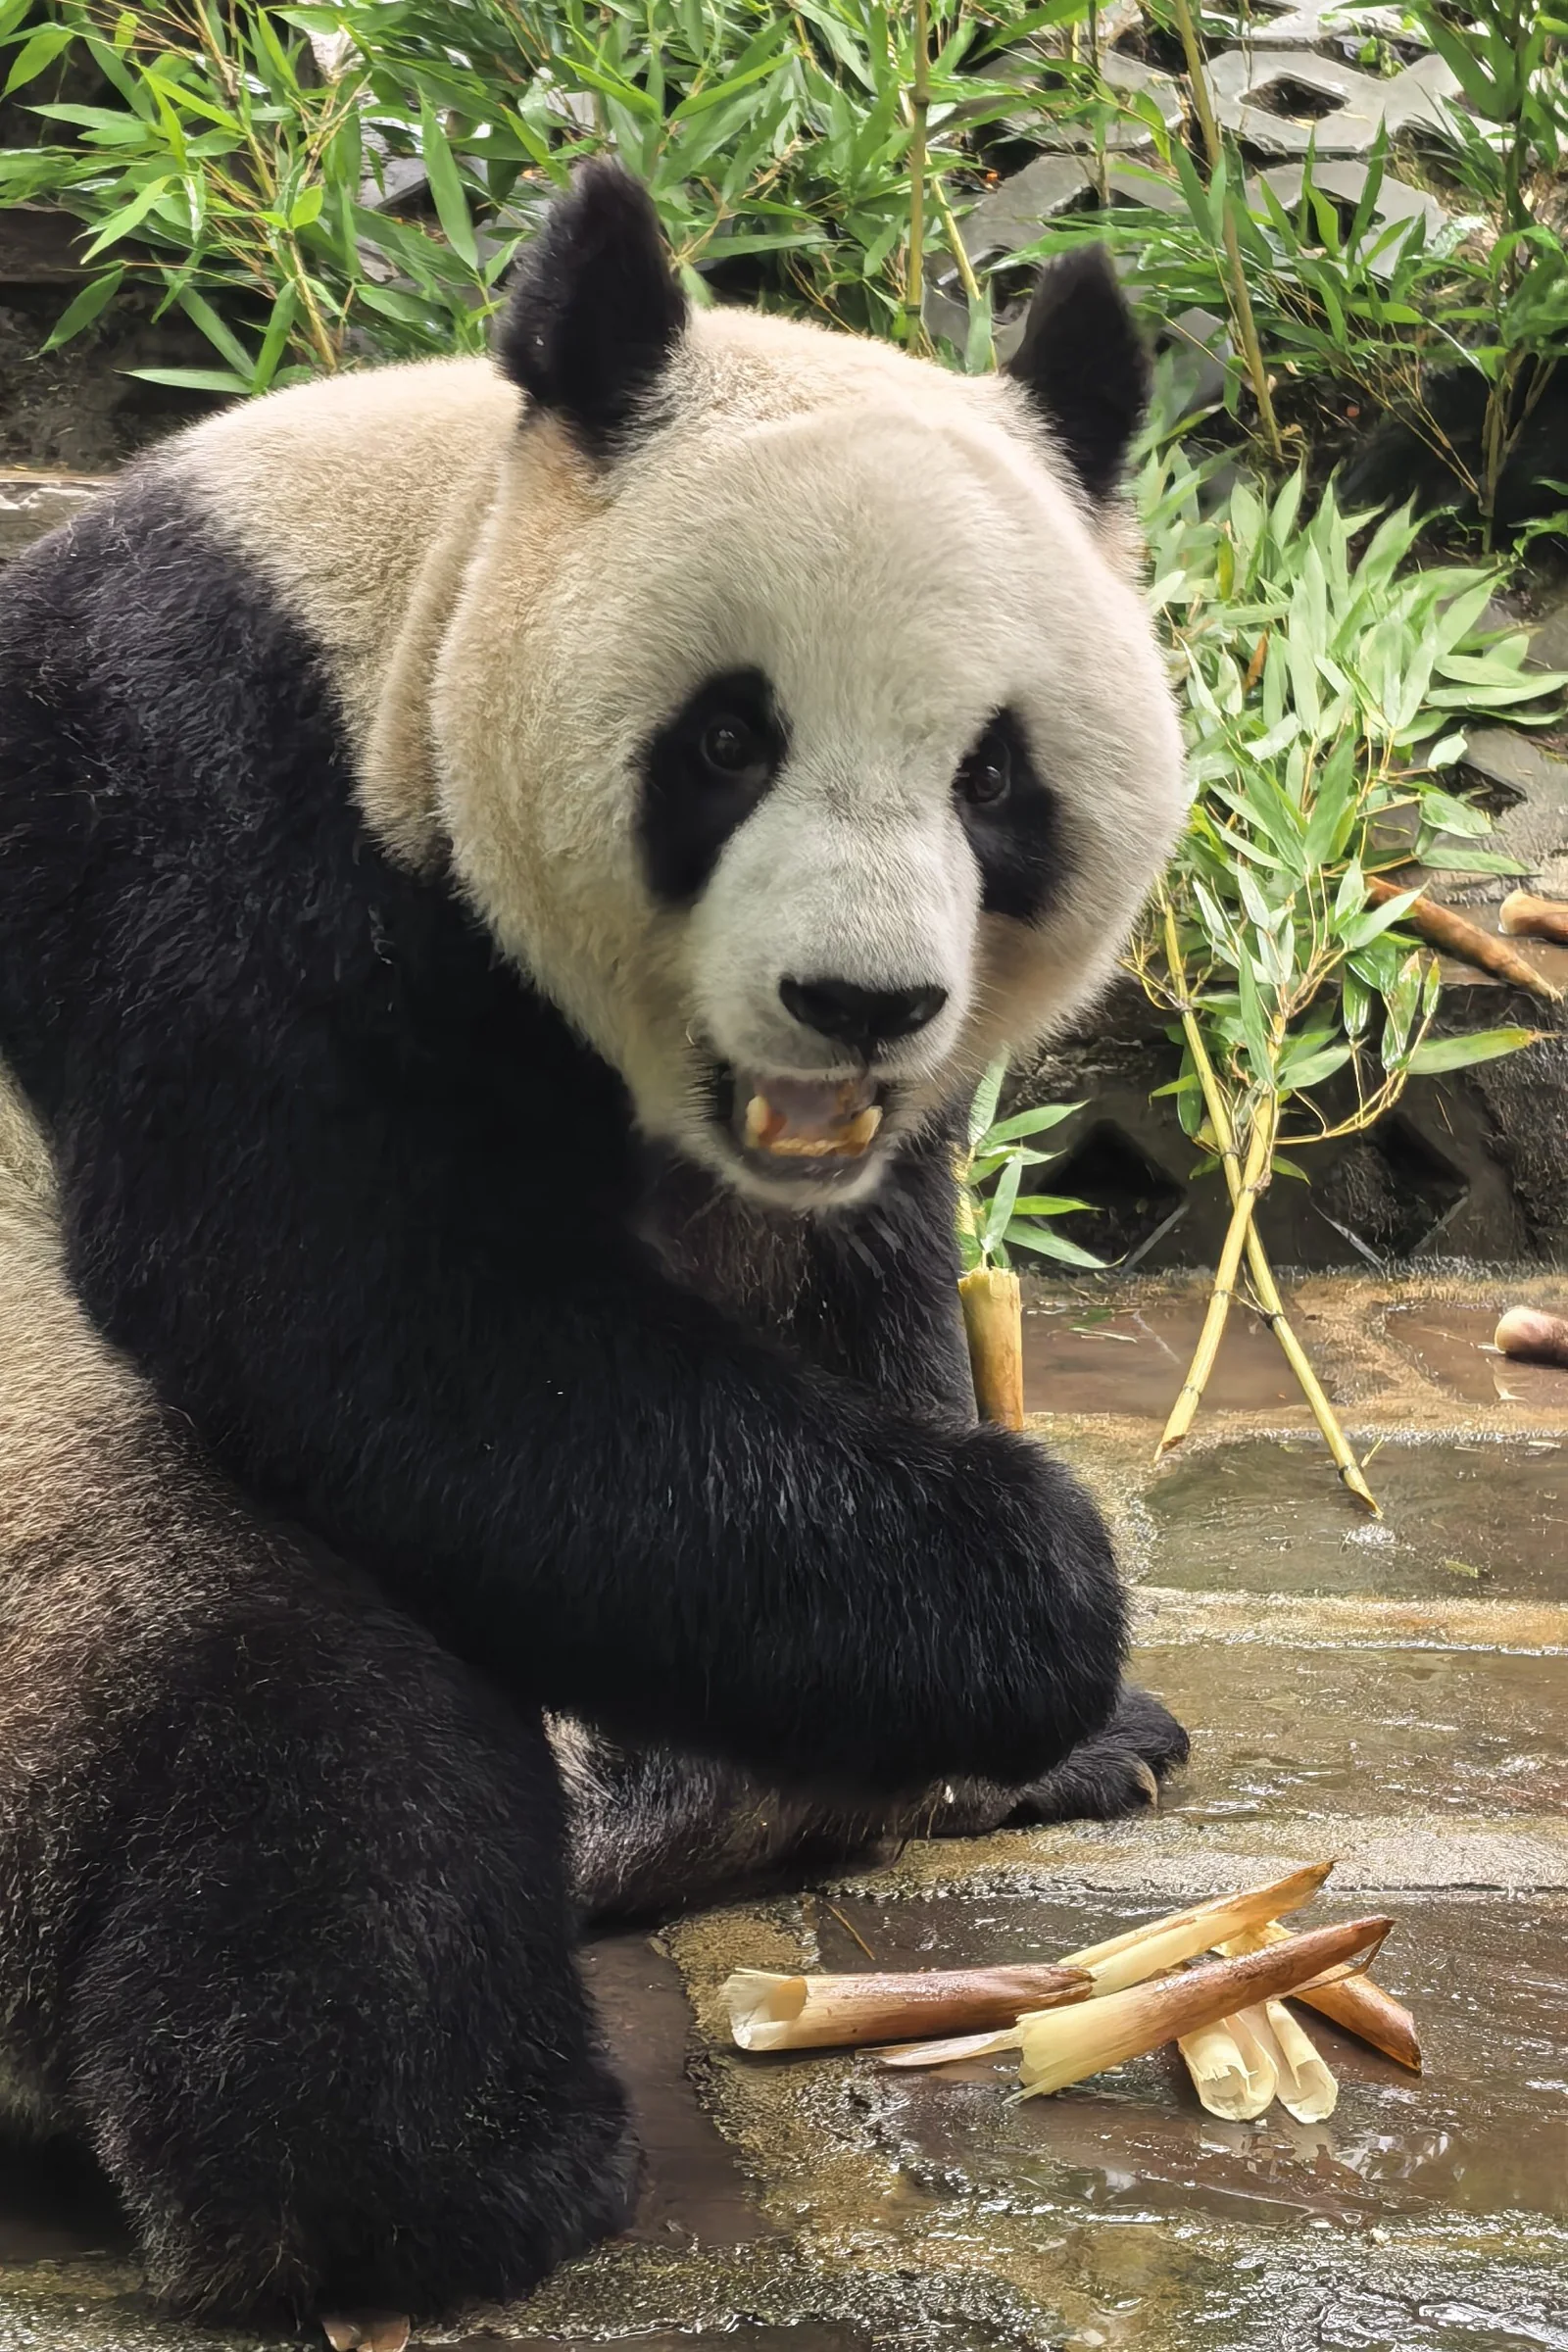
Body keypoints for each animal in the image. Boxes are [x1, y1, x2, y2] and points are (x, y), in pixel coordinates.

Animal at [0, 163, 1186, 2323]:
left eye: (994, 776)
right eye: (728, 742)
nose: (857, 1002)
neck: (426, 570)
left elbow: (846, 1294)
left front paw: (989, 1727)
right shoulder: (197, 800)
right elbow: (367, 1315)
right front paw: (1037, 1593)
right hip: (55, 1538)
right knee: (317, 1773)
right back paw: (445, 2184)